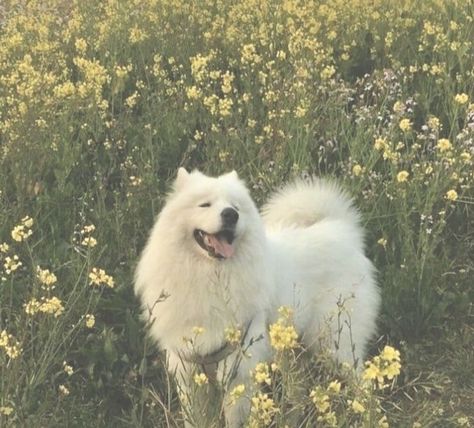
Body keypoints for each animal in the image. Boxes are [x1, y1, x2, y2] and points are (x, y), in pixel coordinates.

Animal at [135, 169, 380, 426]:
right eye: (205, 204)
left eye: (235, 207)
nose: (230, 215)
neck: (211, 277)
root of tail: (341, 229)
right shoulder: (190, 374)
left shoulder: (239, 373)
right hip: (293, 352)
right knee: (299, 392)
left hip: (337, 347)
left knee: (365, 387)